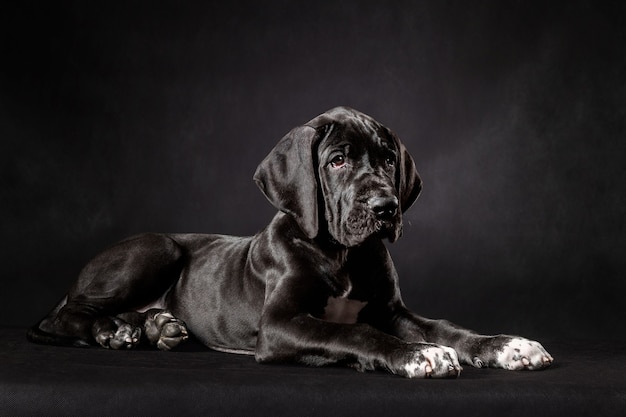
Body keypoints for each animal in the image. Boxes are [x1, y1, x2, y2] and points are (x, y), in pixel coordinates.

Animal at [28, 106, 552, 376]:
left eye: (387, 160)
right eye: (337, 160)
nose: (386, 208)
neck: (340, 255)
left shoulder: (392, 311)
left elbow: (444, 327)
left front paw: (505, 345)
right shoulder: (280, 325)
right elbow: (352, 332)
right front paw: (416, 354)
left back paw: (154, 327)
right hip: (159, 247)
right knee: (63, 315)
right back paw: (112, 331)